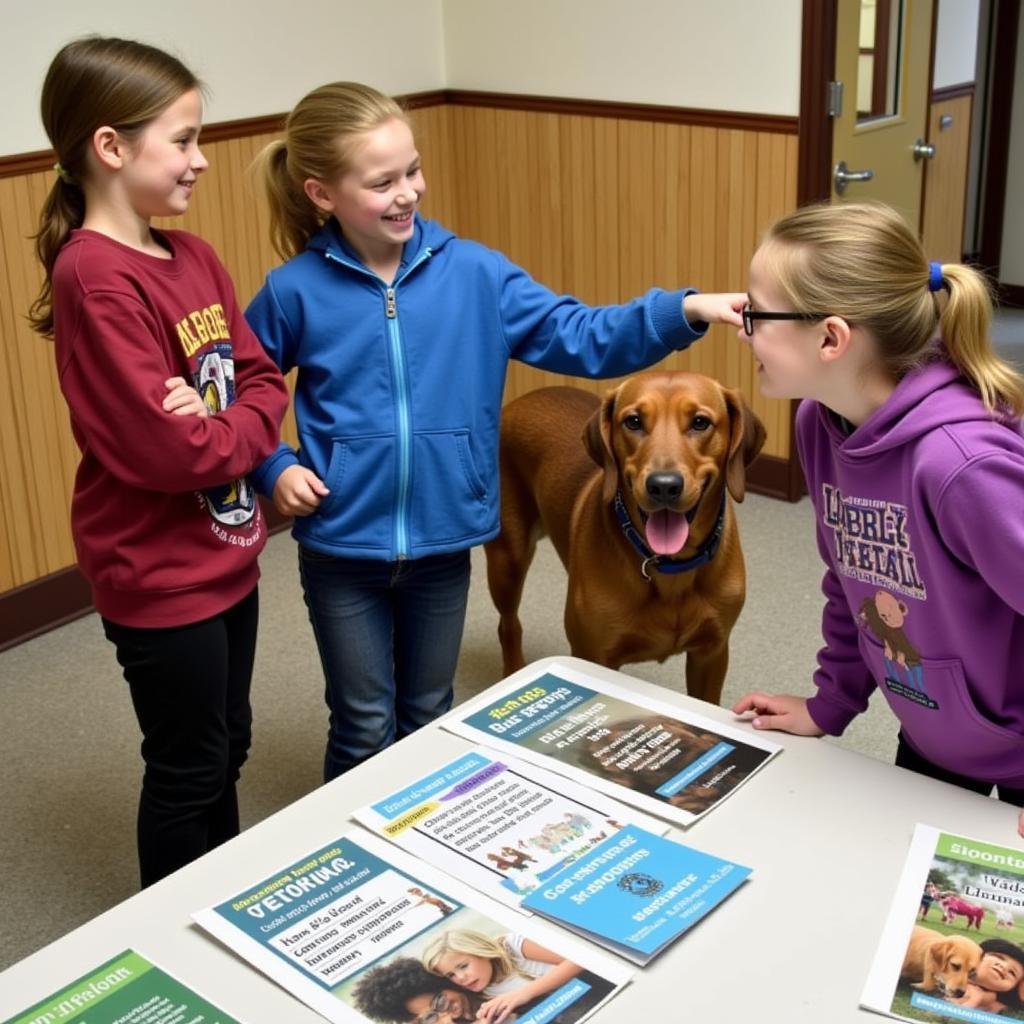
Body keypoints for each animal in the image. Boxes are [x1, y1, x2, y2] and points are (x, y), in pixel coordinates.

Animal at [483, 370, 765, 704]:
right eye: (633, 421)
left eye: (700, 422)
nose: (664, 485)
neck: (672, 568)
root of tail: (521, 400)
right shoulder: (592, 655)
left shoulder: (711, 653)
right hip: (507, 561)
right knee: (508, 625)